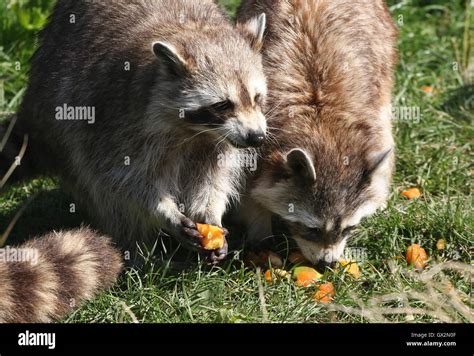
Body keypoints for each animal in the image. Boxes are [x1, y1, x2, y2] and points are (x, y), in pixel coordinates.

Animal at [6, 0, 266, 264]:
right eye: (222, 105)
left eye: (257, 98)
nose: (257, 137)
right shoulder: (117, 121)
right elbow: (125, 182)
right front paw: (163, 211)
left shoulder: (217, 141)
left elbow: (214, 177)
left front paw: (210, 213)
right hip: (64, 127)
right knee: (102, 192)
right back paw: (136, 252)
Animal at [237, 0, 396, 266]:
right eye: (312, 229)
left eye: (348, 228)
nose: (327, 264)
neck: (323, 128)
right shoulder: (252, 137)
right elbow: (249, 191)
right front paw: (261, 235)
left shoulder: (372, 123)